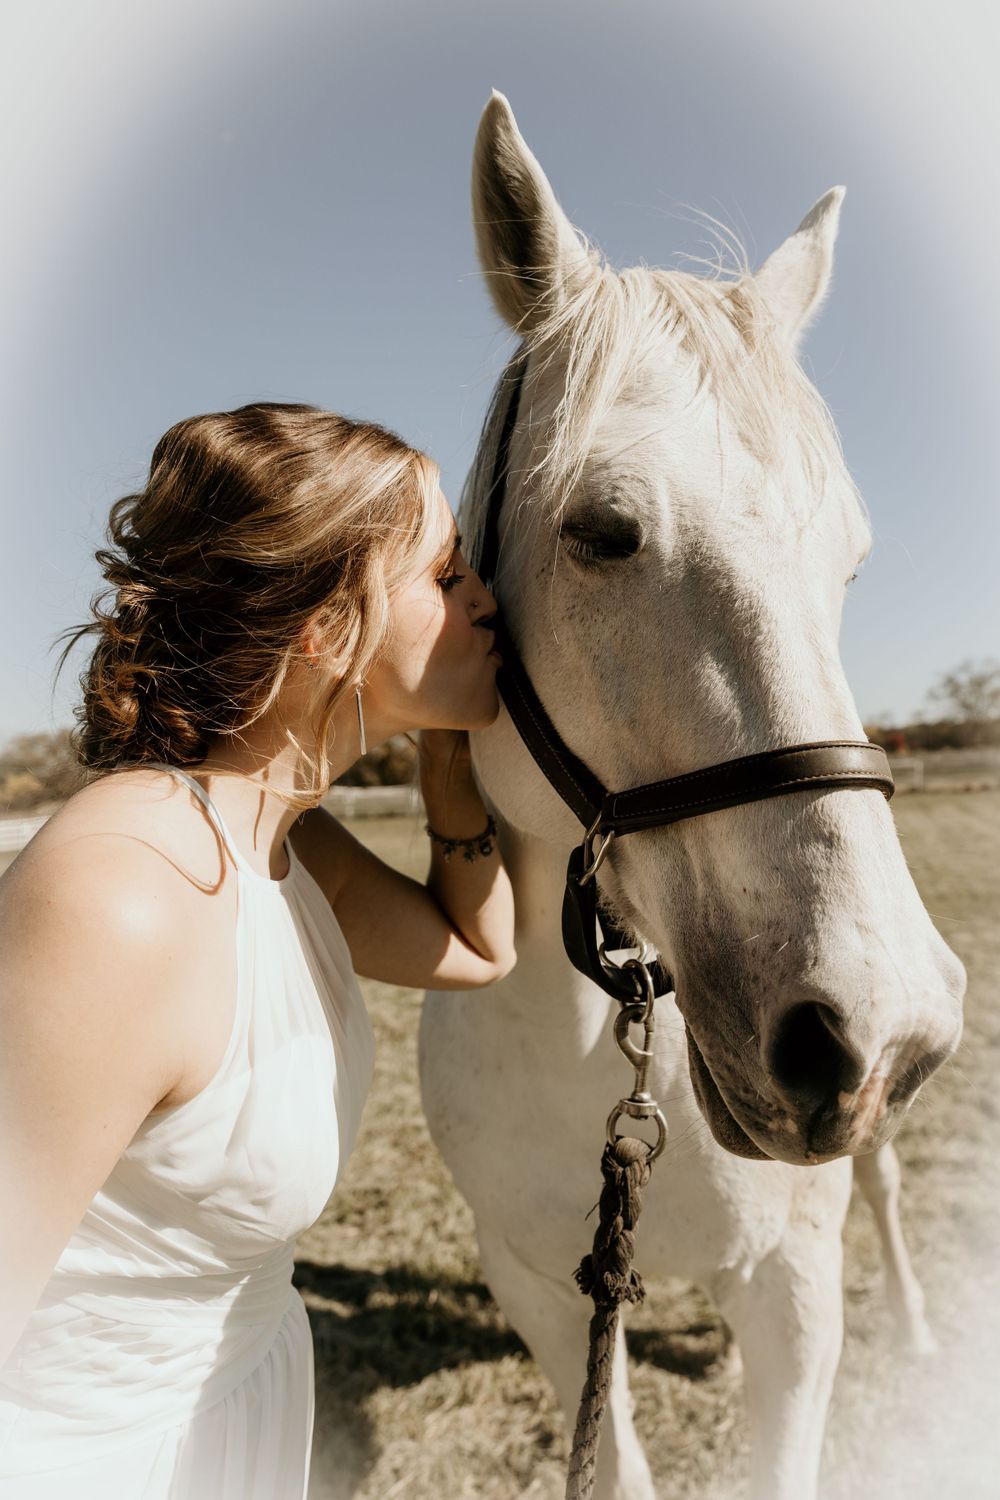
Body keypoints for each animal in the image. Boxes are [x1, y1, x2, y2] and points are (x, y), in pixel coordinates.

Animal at [418, 91, 966, 1500]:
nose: (871, 1028)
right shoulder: (547, 1298)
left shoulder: (798, 1295)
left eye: (852, 562)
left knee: (884, 1191)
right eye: (599, 532)